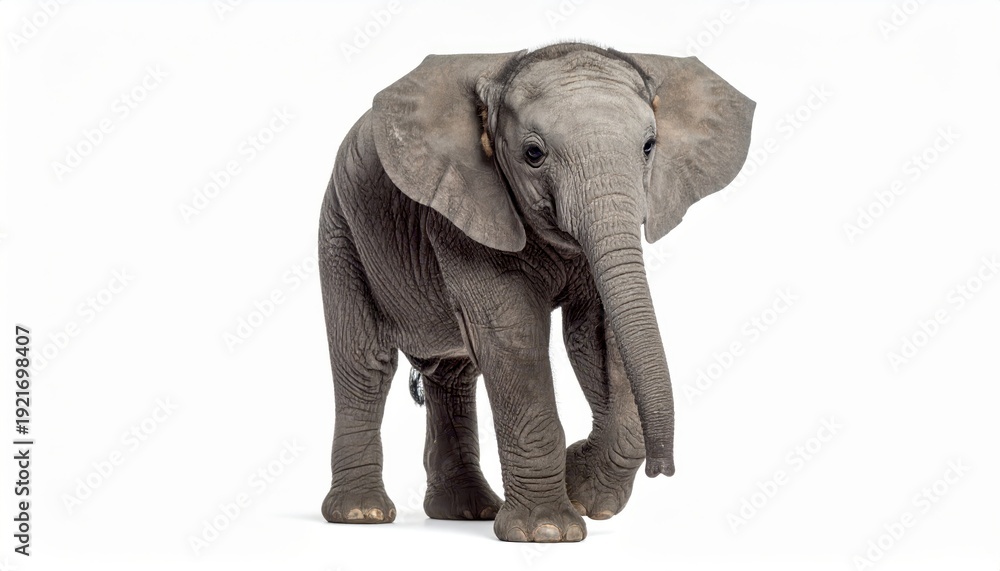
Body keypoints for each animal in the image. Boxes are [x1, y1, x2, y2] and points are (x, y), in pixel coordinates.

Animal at [318, 42, 754, 542]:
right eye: (532, 153)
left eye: (649, 147)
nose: (664, 470)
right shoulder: (462, 212)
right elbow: (513, 336)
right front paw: (548, 530)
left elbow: (599, 337)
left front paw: (585, 492)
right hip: (340, 229)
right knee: (365, 363)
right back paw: (362, 514)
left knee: (453, 374)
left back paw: (465, 511)